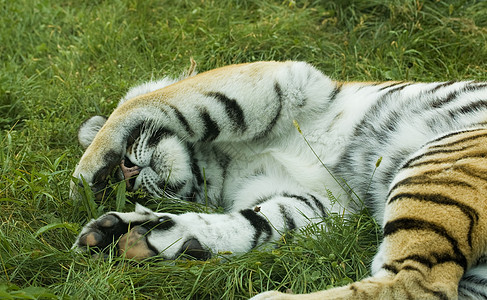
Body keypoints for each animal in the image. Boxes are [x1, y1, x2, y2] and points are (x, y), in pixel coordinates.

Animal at [69, 60, 487, 298]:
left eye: (124, 160)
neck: (223, 162)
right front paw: (130, 236)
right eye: (123, 186)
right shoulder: (312, 203)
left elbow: (140, 104)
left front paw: (84, 175)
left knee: (418, 285)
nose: (126, 172)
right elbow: (253, 225)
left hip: (439, 165)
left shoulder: (275, 80)